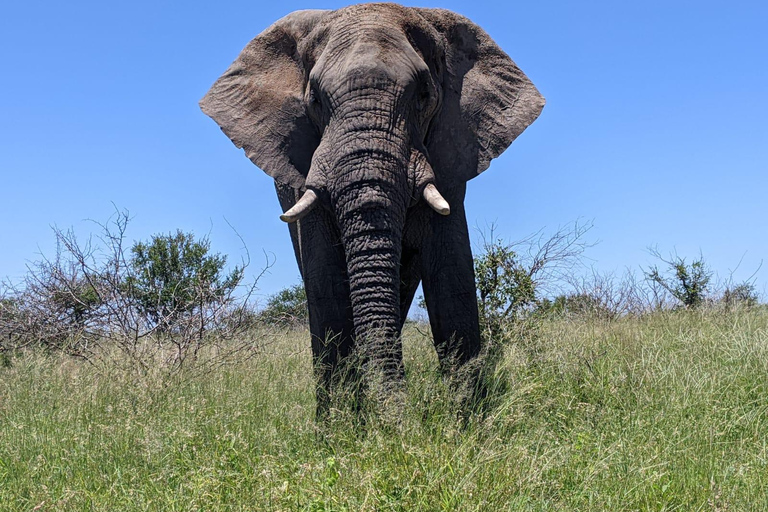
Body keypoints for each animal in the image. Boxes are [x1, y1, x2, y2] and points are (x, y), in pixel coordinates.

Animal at [201, 2, 544, 414]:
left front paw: (468, 423)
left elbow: (452, 281)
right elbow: (327, 286)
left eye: (424, 95)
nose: (402, 417)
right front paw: (341, 425)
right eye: (315, 101)